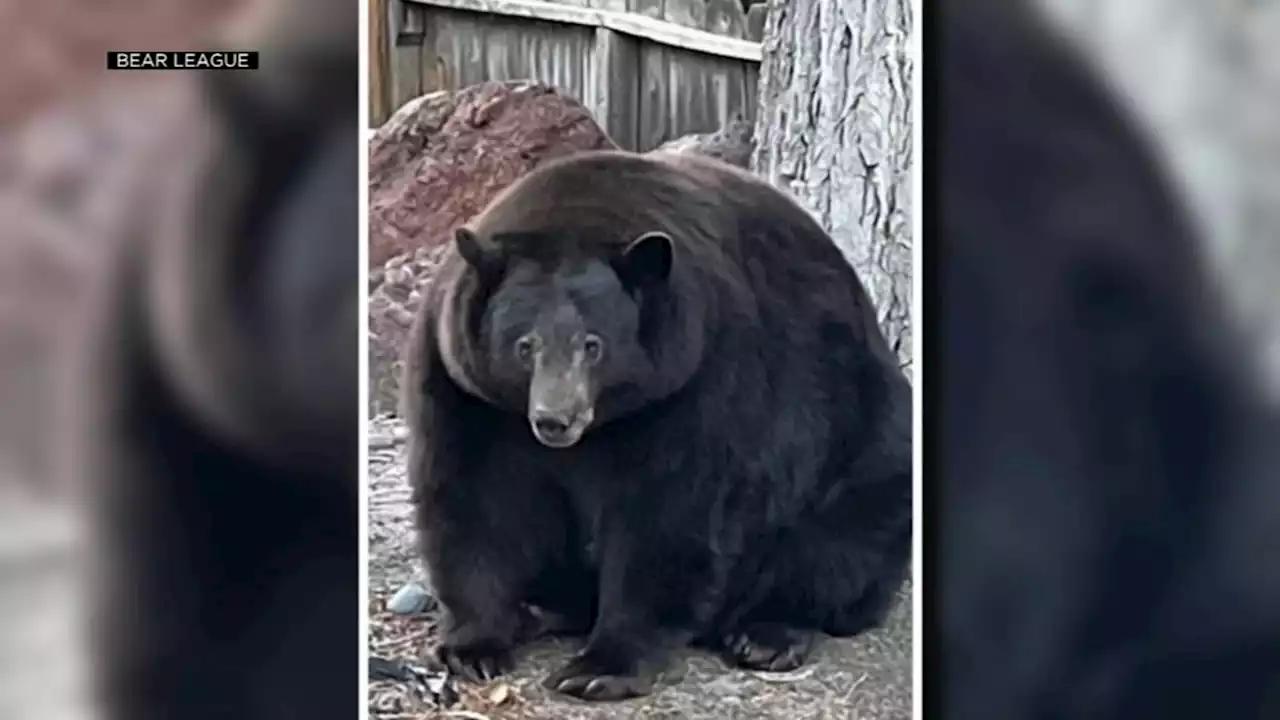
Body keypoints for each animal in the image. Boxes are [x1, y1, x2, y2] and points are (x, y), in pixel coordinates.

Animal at [404, 148, 916, 696]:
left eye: (593, 344)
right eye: (525, 345)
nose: (555, 420)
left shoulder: (699, 377)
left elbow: (667, 511)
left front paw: (600, 667)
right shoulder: (465, 389)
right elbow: (475, 497)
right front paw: (474, 646)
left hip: (861, 442)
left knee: (839, 543)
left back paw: (766, 633)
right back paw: (541, 609)